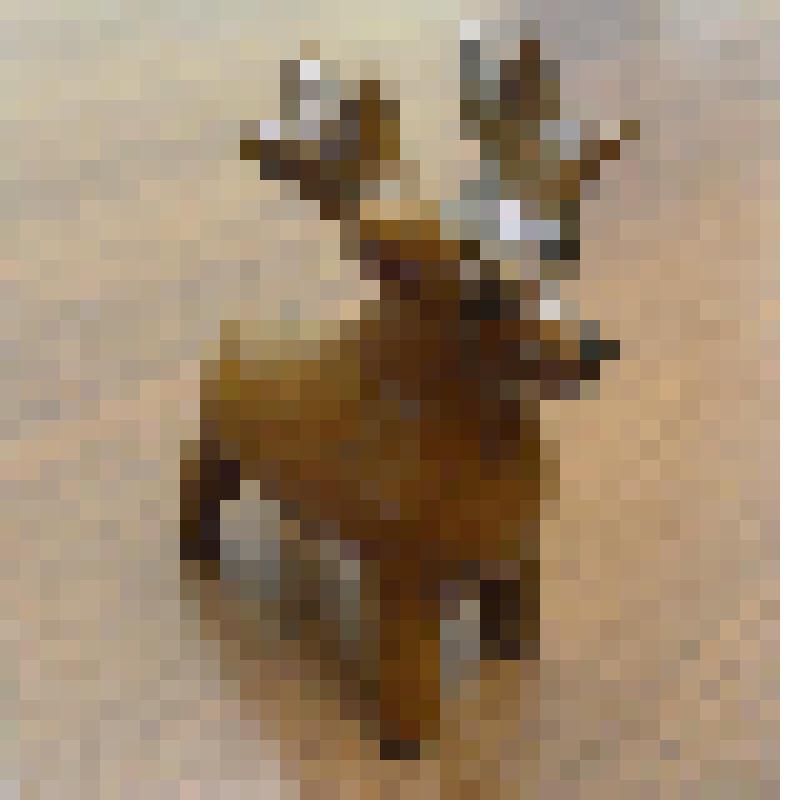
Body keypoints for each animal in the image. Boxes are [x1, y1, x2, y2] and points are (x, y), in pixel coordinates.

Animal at [180, 20, 638, 760]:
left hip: (291, 484)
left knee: (296, 516)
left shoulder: (522, 554)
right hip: (210, 440)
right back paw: (197, 555)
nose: (596, 345)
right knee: (199, 496)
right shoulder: (400, 579)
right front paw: (406, 743)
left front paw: (516, 666)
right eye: (482, 295)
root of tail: (237, 322)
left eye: (559, 251)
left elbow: (518, 633)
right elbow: (408, 677)